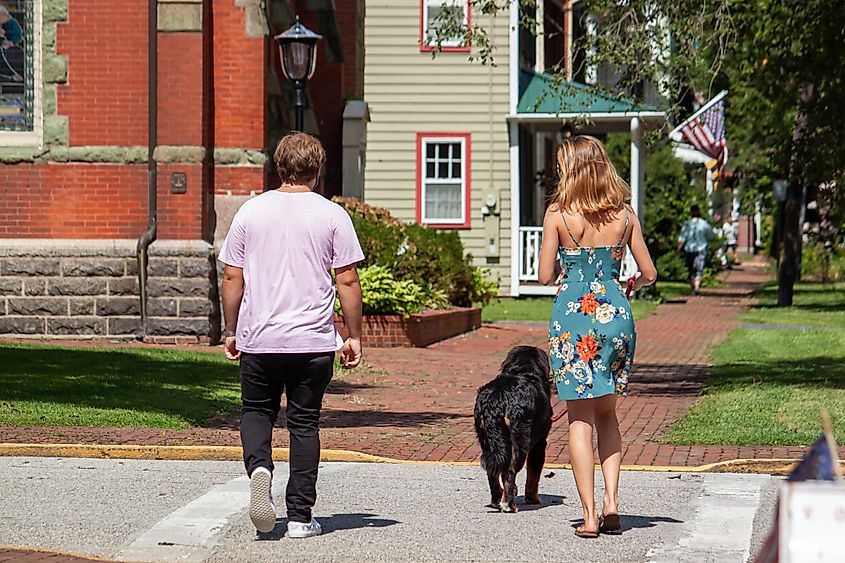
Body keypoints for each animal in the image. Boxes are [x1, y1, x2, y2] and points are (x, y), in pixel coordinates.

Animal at [474, 346, 552, 512]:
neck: (523, 371)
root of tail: (497, 397)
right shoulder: (539, 444)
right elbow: (533, 476)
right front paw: (533, 499)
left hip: (486, 440)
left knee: (492, 471)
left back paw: (497, 499)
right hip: (520, 441)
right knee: (510, 472)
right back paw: (509, 504)